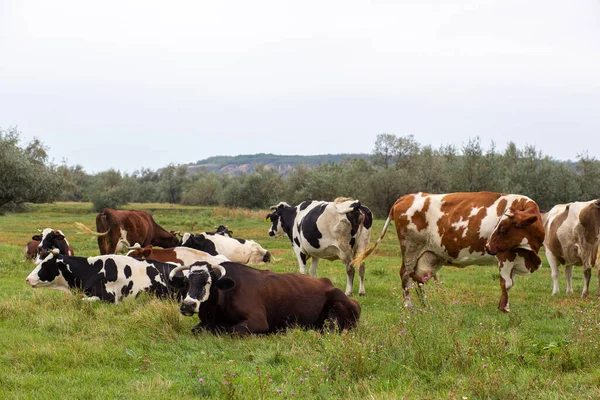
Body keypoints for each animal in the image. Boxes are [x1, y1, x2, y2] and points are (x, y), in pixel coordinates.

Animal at [173, 260, 360, 334]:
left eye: (207, 282)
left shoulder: (257, 322)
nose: (188, 305)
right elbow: (196, 329)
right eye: (186, 283)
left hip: (335, 310)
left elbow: (232, 330)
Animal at [354, 191, 548, 312]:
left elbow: (510, 283)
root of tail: (407, 196)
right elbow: (506, 283)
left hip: (428, 255)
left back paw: (426, 305)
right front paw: (504, 308)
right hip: (410, 248)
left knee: (419, 277)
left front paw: (504, 306)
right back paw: (409, 305)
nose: (488, 247)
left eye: (503, 228)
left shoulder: (515, 257)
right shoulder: (505, 255)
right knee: (405, 275)